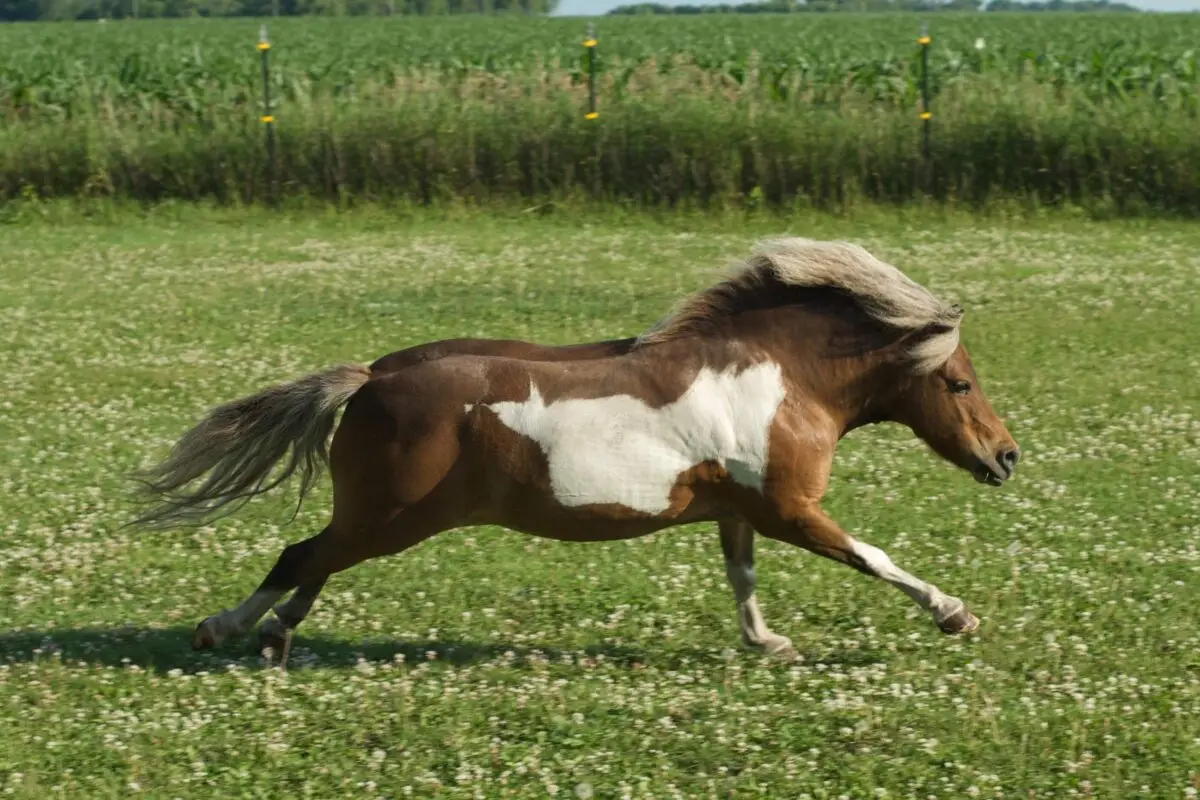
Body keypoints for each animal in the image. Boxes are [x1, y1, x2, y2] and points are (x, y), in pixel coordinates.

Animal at [130, 237, 1021, 659]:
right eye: (960, 384)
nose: (1006, 457)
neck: (779, 378)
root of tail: (372, 376)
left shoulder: (738, 510)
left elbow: (741, 579)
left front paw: (767, 642)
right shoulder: (790, 508)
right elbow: (874, 557)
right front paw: (955, 613)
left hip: (379, 518)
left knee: (316, 561)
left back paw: (275, 636)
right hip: (392, 517)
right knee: (299, 555)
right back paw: (223, 629)